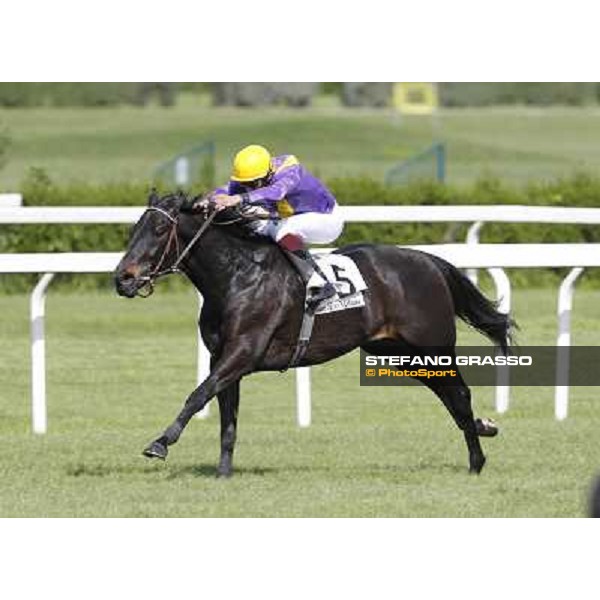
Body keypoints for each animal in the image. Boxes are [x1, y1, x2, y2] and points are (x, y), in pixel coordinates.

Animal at [113, 192, 510, 478]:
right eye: (134, 230)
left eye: (159, 231)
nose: (123, 278)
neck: (237, 276)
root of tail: (430, 262)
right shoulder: (222, 358)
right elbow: (227, 417)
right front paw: (223, 473)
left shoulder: (243, 352)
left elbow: (197, 395)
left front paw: (160, 443)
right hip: (397, 351)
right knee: (449, 395)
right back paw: (483, 429)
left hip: (431, 345)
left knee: (458, 393)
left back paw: (477, 460)